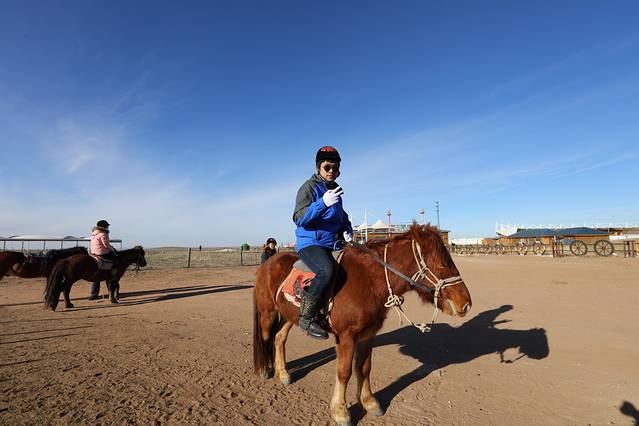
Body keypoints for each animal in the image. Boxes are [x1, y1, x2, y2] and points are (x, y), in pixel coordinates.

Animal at [253, 224, 472, 426]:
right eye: (443, 264)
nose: (466, 303)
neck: (368, 280)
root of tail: (267, 264)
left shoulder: (368, 334)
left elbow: (364, 368)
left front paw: (369, 402)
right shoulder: (346, 336)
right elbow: (344, 372)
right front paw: (341, 412)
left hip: (289, 315)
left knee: (279, 338)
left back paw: (283, 373)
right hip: (268, 312)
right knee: (266, 337)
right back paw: (264, 370)